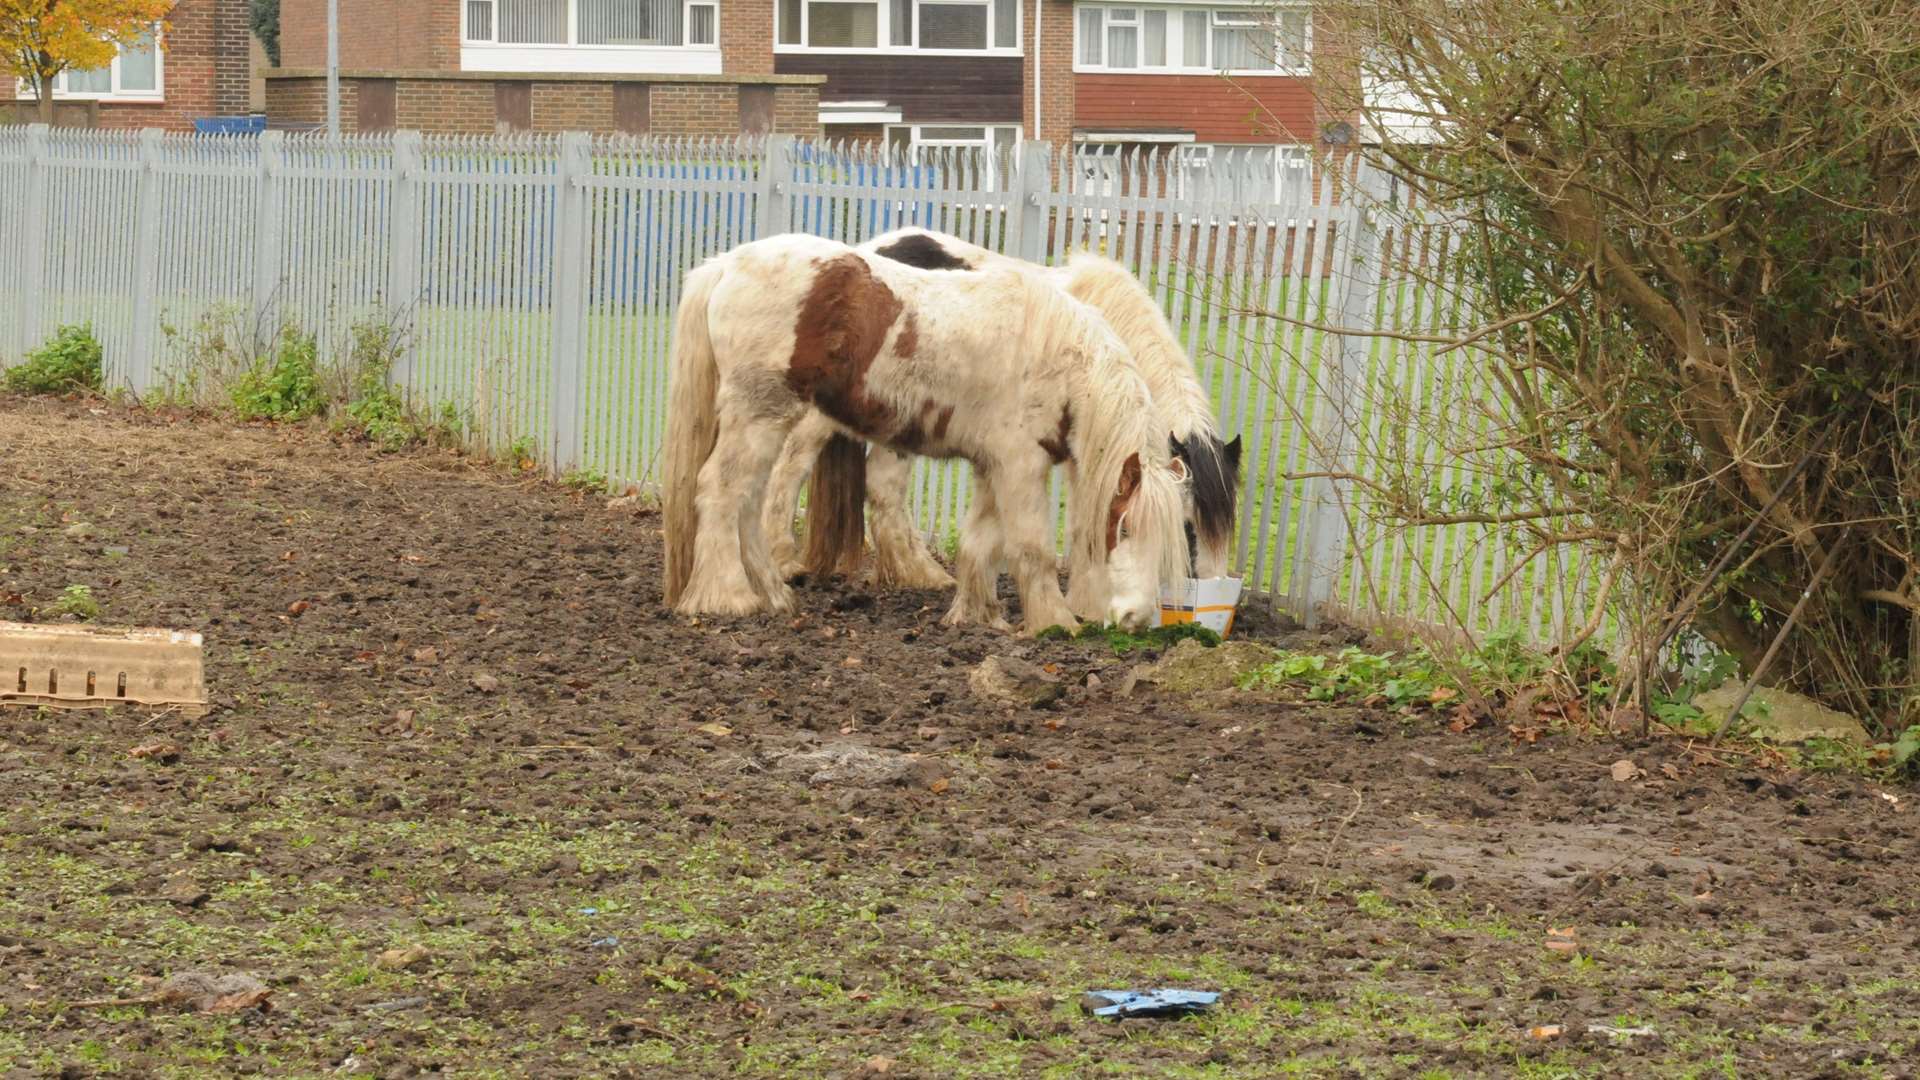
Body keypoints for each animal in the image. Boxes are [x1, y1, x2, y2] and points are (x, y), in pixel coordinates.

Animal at [668, 228, 1190, 630]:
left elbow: (982, 542)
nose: (1135, 620)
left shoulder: (993, 467)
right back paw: (729, 596)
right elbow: (1031, 547)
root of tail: (726, 265)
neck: (1062, 360)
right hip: (759, 416)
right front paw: (1054, 623)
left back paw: (774, 595)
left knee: (749, 502)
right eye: (1125, 528)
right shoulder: (1021, 467)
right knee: (722, 491)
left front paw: (978, 616)